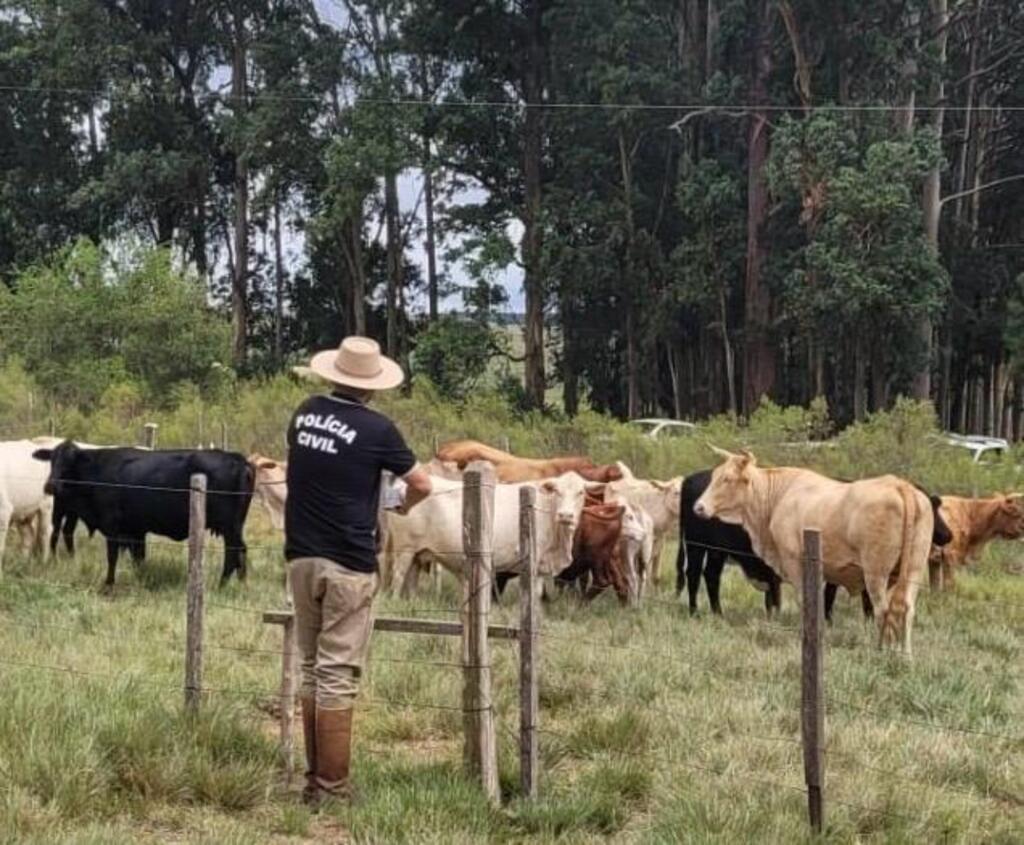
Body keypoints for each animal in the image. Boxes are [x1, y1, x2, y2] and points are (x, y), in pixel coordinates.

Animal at [33, 442, 256, 585]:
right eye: (51, 460)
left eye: (70, 462)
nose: (51, 485)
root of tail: (237, 458)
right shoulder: (135, 529)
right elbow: (138, 557)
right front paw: (140, 579)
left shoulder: (112, 525)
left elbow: (113, 556)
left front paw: (109, 583)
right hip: (236, 525)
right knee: (242, 550)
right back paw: (241, 583)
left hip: (229, 526)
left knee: (233, 552)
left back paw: (222, 584)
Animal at [692, 444, 933, 655]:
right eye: (714, 476)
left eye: (727, 478)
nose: (699, 507)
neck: (776, 496)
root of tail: (900, 485)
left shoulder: (794, 562)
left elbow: (805, 601)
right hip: (913, 569)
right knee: (905, 608)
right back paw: (905, 655)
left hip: (876, 572)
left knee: (883, 610)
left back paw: (883, 651)